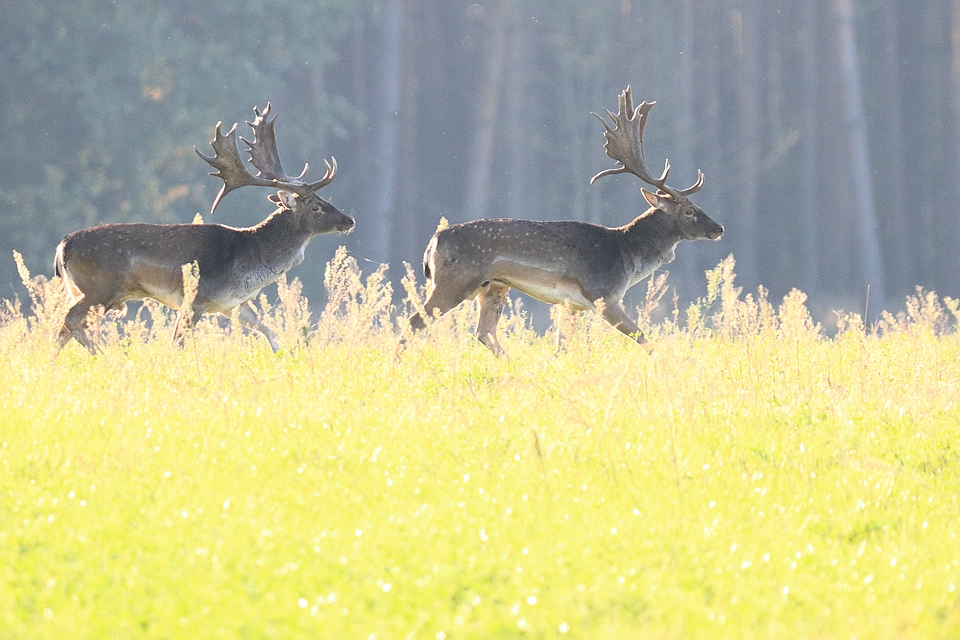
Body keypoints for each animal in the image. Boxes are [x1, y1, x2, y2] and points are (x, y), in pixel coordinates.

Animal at [53, 105, 352, 356]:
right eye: (316, 207)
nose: (349, 220)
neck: (248, 262)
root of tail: (62, 246)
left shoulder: (233, 304)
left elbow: (268, 330)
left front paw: (285, 357)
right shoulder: (196, 298)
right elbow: (178, 343)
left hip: (89, 290)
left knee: (63, 330)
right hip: (101, 287)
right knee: (69, 320)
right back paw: (104, 356)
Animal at [402, 85, 724, 358]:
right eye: (689, 211)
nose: (719, 228)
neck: (626, 258)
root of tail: (433, 242)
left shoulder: (570, 306)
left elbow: (563, 347)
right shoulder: (602, 296)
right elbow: (643, 338)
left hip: (493, 287)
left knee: (484, 333)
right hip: (454, 282)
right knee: (412, 323)